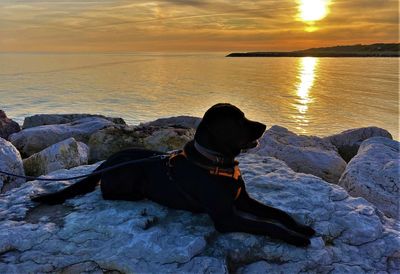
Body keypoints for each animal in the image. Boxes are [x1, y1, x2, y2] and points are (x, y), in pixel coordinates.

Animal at [31, 104, 314, 247]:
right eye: (238, 120)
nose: (265, 126)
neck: (216, 162)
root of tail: (107, 162)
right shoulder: (226, 217)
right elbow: (267, 225)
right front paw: (295, 238)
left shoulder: (242, 199)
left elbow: (278, 213)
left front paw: (301, 227)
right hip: (132, 175)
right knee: (106, 192)